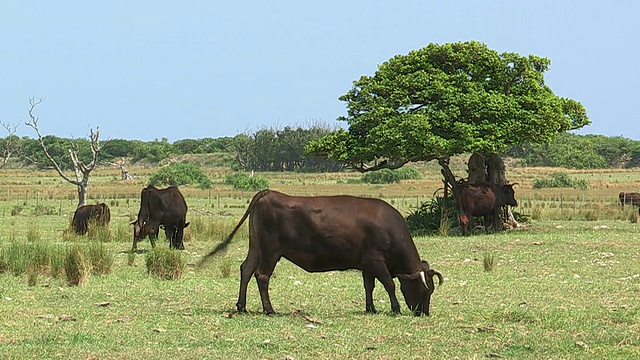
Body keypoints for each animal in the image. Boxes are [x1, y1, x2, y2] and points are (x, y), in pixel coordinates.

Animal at [200, 190, 444, 316]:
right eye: (425, 290)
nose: (424, 312)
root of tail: (269, 192)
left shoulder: (367, 264)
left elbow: (369, 286)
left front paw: (371, 308)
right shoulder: (376, 261)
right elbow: (389, 285)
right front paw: (395, 309)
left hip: (256, 247)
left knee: (246, 269)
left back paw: (241, 306)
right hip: (271, 250)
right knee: (262, 275)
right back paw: (269, 310)